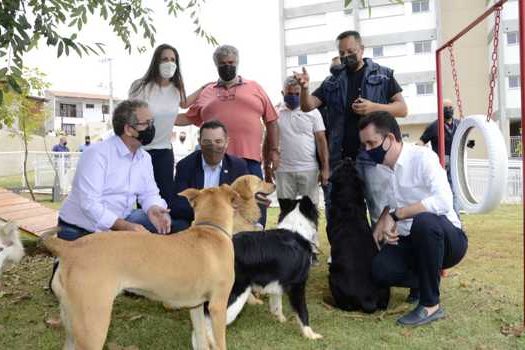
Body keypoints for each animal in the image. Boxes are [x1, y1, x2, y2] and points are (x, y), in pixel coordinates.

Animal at [45, 185, 239, 348]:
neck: (211, 230)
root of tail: (70, 247)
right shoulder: (218, 306)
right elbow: (220, 342)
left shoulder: (196, 306)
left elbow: (201, 337)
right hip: (93, 326)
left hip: (72, 325)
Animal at [328, 158, 388, 312]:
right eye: (353, 169)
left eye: (339, 167)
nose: (348, 158)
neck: (349, 203)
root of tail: (368, 298)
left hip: (333, 277)